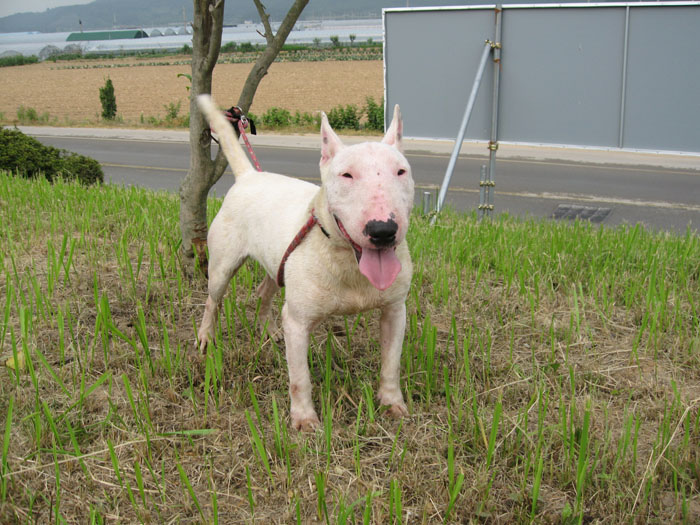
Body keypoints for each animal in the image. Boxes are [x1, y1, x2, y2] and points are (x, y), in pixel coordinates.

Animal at [196, 95, 414, 431]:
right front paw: (304, 420)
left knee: (264, 291)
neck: (346, 258)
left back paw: (270, 330)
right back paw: (206, 337)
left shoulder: (395, 310)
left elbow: (391, 363)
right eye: (346, 175)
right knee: (213, 300)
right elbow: (300, 378)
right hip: (222, 266)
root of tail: (249, 176)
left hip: (278, 262)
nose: (383, 230)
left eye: (401, 171)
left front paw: (392, 404)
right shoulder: (298, 322)